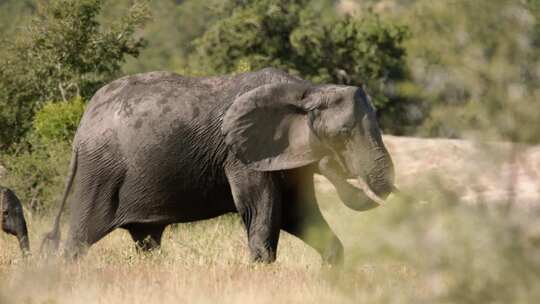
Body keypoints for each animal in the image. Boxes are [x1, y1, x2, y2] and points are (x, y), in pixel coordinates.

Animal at [42, 67, 394, 264]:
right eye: (343, 133)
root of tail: (83, 125)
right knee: (80, 239)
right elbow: (263, 211)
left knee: (147, 243)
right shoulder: (241, 156)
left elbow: (299, 216)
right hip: (100, 171)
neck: (308, 90)